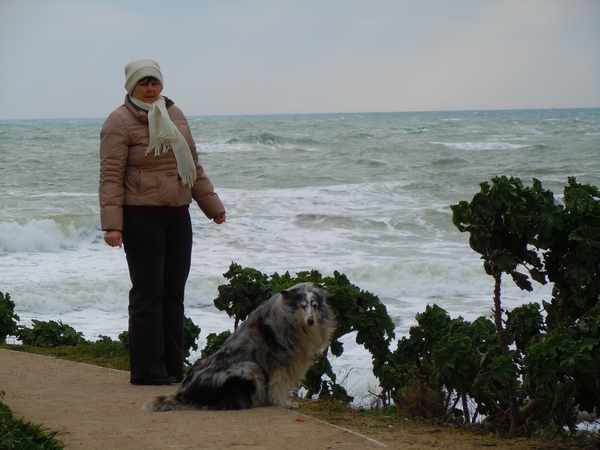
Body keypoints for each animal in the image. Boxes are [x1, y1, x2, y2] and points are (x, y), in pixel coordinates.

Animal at [143, 284, 336, 414]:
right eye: (302, 306)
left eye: (314, 306)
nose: (311, 321)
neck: (290, 319)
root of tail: (183, 393)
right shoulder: (278, 361)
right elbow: (278, 385)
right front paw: (284, 403)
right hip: (249, 368)